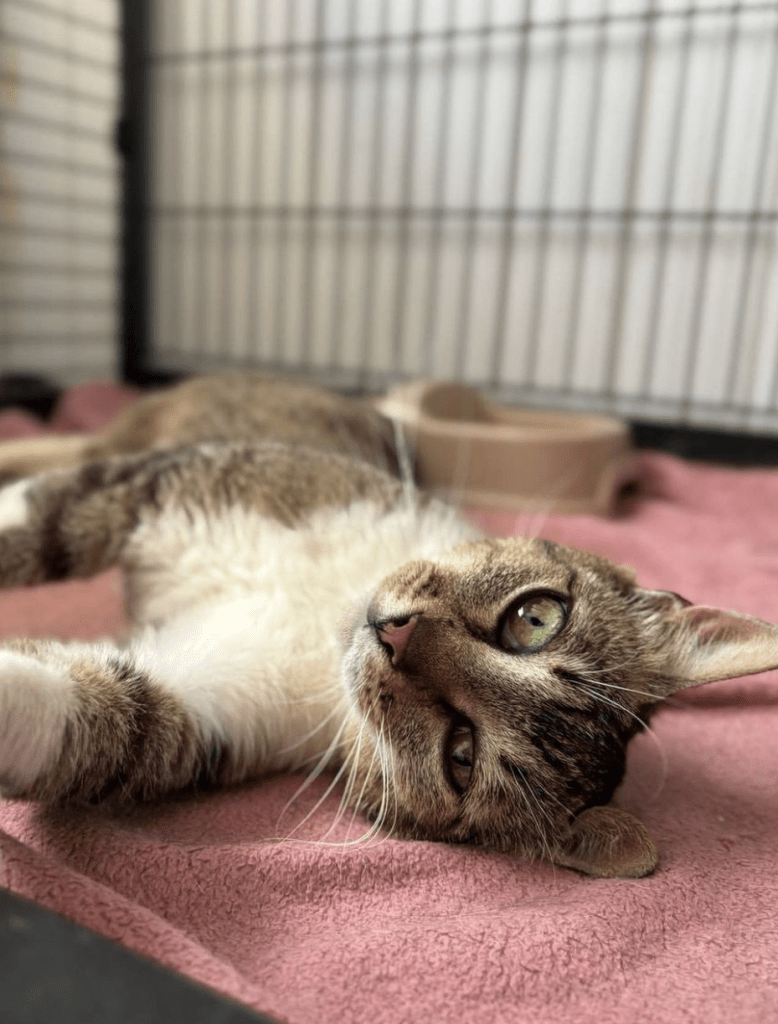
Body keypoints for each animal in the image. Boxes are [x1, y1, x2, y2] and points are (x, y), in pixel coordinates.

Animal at [1, 376, 778, 880]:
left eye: (462, 754)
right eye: (535, 618)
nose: (396, 636)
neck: (324, 618)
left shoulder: (211, 701)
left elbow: (114, 716)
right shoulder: (184, 485)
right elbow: (44, 523)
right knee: (65, 452)